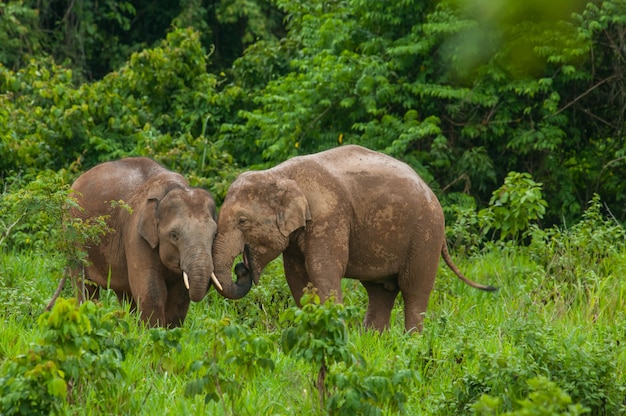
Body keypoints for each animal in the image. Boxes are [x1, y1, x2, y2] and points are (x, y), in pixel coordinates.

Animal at [48, 158, 229, 326]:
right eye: (174, 236)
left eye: (214, 235)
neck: (171, 189)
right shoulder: (136, 234)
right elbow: (151, 291)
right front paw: (153, 332)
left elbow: (180, 295)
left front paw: (171, 332)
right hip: (73, 236)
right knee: (85, 284)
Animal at [212, 145, 494, 334]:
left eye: (242, 221)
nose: (241, 268)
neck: (279, 173)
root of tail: (432, 194)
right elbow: (296, 277)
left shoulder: (330, 217)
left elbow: (323, 270)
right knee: (381, 291)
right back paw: (373, 340)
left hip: (426, 235)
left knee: (414, 288)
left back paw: (412, 341)